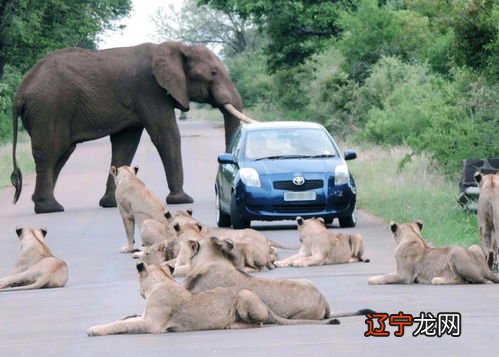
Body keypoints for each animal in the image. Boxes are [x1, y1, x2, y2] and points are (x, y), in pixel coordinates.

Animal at [10, 41, 258, 214]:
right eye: (213, 73)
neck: (176, 47)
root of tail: (21, 90)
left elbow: (126, 144)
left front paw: (111, 203)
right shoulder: (151, 91)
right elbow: (166, 135)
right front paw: (182, 200)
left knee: (60, 154)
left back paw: (43, 205)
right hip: (49, 109)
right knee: (50, 153)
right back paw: (50, 208)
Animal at [88, 260, 342, 336]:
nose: (139, 293)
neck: (162, 280)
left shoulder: (152, 325)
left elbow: (121, 325)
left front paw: (94, 329)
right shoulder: (145, 316)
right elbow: (126, 318)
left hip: (244, 294)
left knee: (258, 323)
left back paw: (232, 325)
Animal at [368, 218, 499, 286]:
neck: (414, 237)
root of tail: (486, 269)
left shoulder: (405, 276)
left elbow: (387, 277)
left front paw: (372, 279)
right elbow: (389, 274)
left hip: (454, 252)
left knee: (467, 280)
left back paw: (438, 280)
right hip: (474, 247)